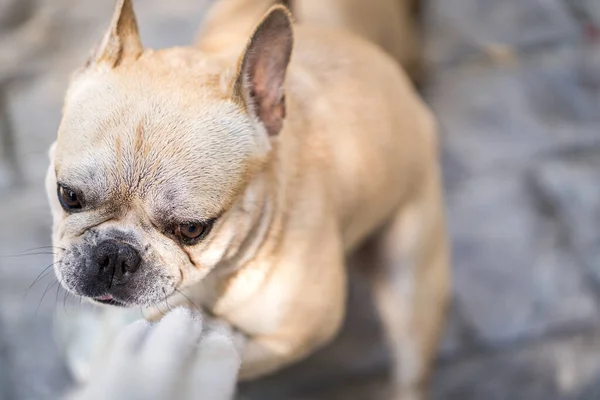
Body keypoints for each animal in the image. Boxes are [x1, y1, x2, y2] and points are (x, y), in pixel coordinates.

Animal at [47, 0, 448, 396]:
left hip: (410, 278)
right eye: (68, 195)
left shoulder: (295, 335)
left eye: (192, 229)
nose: (115, 255)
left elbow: (229, 350)